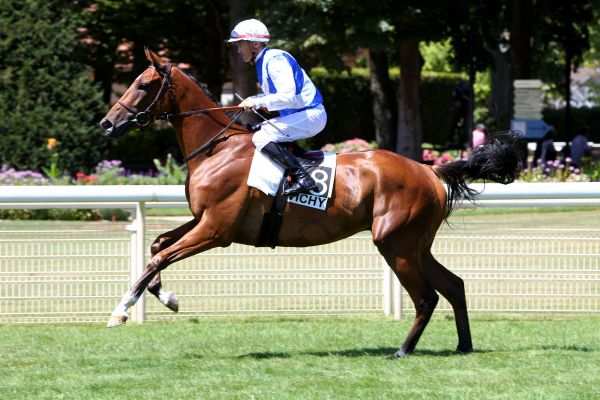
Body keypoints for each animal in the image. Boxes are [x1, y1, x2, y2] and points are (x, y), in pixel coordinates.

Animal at [99, 48, 520, 357]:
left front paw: (120, 311)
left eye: (143, 84)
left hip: (395, 243)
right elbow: (157, 246)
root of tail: (430, 171)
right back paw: (463, 345)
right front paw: (167, 298)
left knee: (426, 297)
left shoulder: (217, 230)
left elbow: (158, 257)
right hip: (415, 244)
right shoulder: (204, 220)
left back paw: (402, 350)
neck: (217, 147)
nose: (105, 124)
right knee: (454, 285)